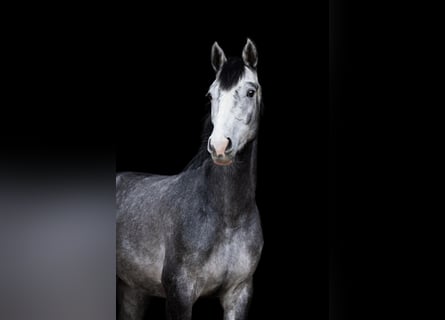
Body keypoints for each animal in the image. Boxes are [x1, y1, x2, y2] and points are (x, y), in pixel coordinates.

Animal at [116, 40, 266, 320]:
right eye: (210, 95)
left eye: (250, 92)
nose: (219, 146)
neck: (227, 218)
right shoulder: (180, 295)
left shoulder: (239, 294)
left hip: (133, 291)